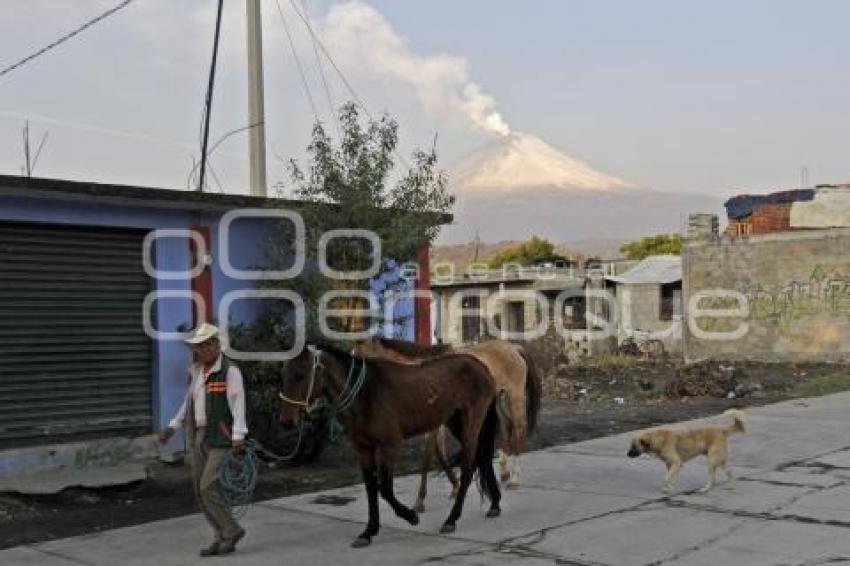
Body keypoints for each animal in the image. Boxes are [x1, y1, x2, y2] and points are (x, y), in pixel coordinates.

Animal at [278, 344, 504, 548]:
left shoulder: (390, 445)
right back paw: (494, 504)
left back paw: (451, 519)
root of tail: (482, 366)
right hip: (455, 422)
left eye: (300, 375)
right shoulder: (363, 449)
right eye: (284, 375)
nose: (286, 421)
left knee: (468, 468)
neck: (366, 394)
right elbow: (371, 488)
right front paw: (368, 532)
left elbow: (385, 489)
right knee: (483, 458)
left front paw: (411, 516)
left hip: (472, 422)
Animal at [352, 340, 540, 512]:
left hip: (514, 398)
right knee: (507, 430)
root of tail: (513, 347)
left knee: (519, 431)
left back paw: (514, 479)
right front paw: (455, 486)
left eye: (360, 358)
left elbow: (428, 458)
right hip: (500, 401)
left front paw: (420, 501)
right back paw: (504, 473)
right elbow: (439, 453)